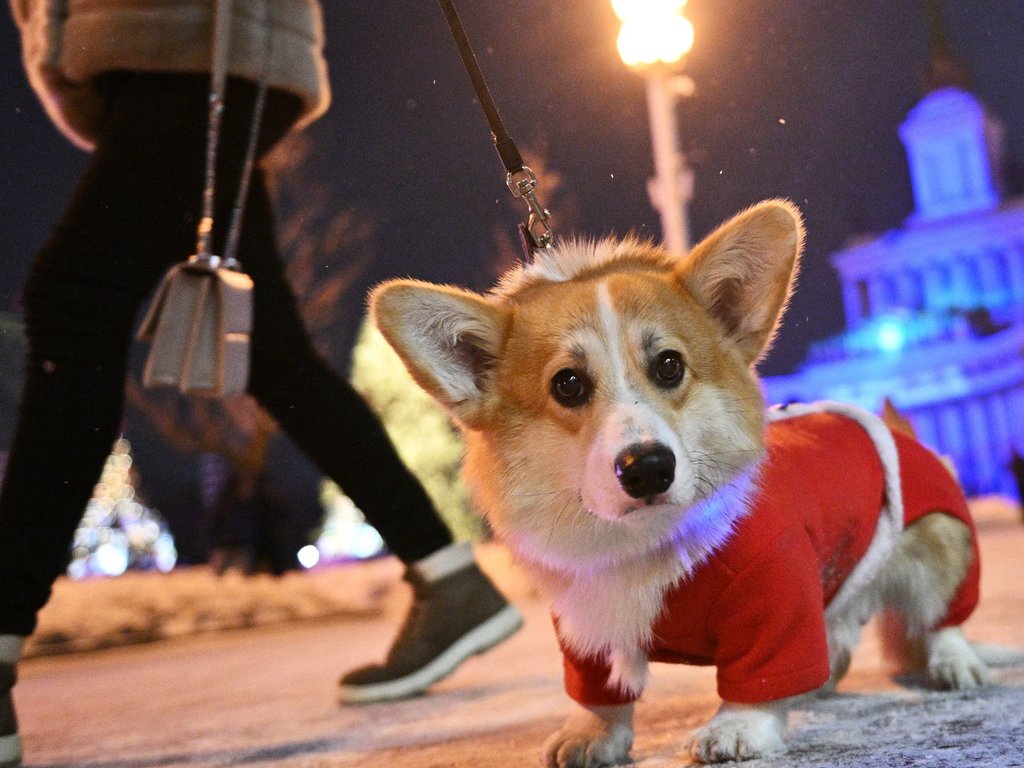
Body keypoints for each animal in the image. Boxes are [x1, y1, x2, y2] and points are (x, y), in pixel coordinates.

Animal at [372, 201, 987, 765]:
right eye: (567, 384)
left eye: (669, 365)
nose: (647, 466)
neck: (639, 546)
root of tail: (898, 428)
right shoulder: (582, 621)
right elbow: (596, 691)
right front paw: (594, 733)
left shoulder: (775, 600)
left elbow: (760, 676)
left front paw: (738, 729)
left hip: (940, 544)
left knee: (940, 617)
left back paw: (955, 662)